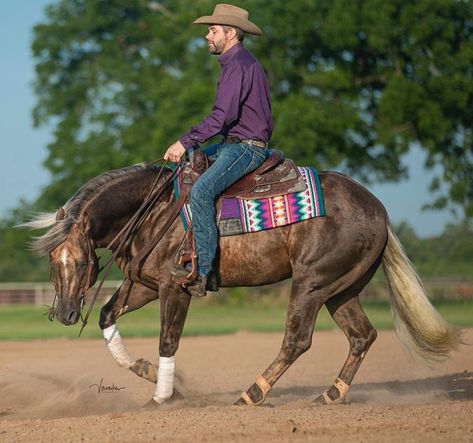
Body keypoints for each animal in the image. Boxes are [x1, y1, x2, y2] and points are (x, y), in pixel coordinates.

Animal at [24, 163, 460, 406]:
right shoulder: (144, 284)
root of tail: (378, 210)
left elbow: (169, 340)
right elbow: (106, 316)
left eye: (82, 262)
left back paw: (252, 393)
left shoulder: (175, 288)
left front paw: (162, 396)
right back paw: (331, 395)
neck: (154, 211)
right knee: (362, 336)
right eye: (52, 261)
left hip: (311, 284)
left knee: (297, 340)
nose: (65, 313)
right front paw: (148, 372)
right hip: (341, 290)